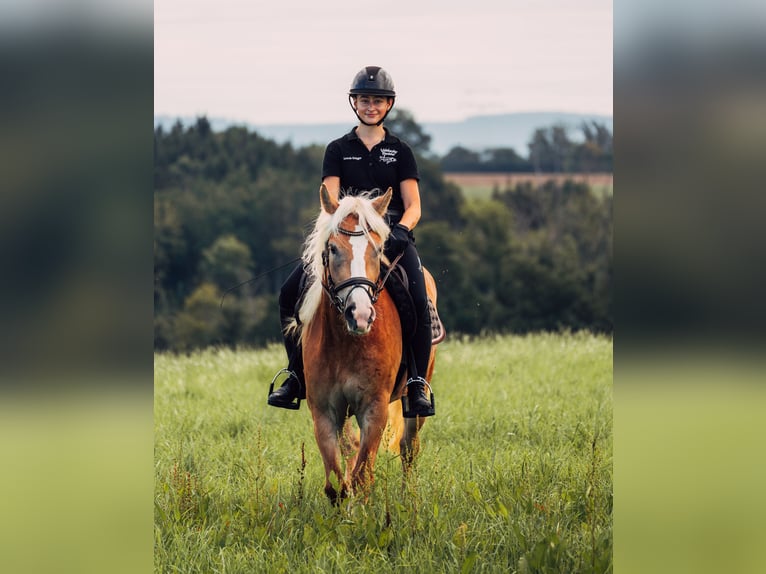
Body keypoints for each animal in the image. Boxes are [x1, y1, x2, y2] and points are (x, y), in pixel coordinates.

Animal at [288, 186, 440, 504]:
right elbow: (336, 483)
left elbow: (361, 478)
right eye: (333, 249)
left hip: (416, 400)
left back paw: (407, 499)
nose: (359, 314)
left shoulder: (374, 408)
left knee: (409, 448)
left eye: (378, 250)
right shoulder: (324, 412)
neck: (347, 343)